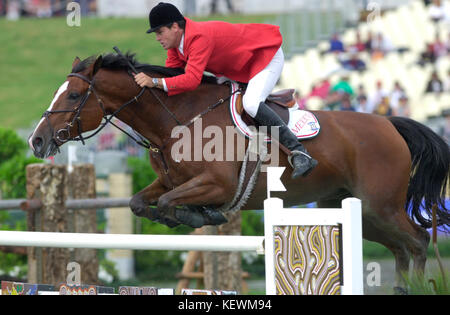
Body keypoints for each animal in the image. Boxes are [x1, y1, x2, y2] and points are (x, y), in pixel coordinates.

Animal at [29, 53, 448, 292]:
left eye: (72, 96)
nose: (36, 141)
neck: (176, 121)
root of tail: (390, 124)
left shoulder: (217, 184)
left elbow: (168, 204)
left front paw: (200, 215)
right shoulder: (168, 181)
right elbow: (140, 203)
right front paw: (194, 216)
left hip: (381, 206)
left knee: (416, 241)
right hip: (352, 208)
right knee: (401, 247)